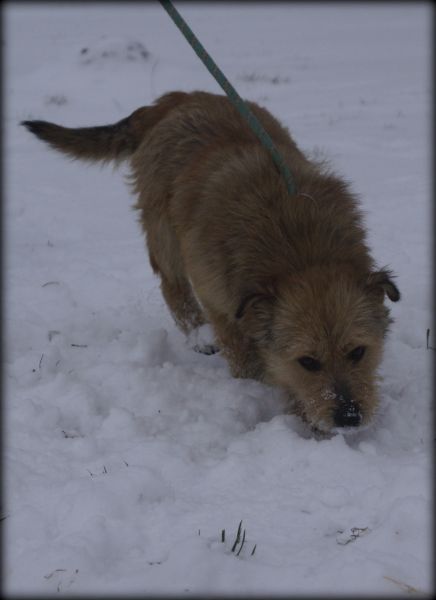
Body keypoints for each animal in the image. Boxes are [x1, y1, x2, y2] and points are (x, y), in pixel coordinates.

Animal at [23, 89, 398, 432]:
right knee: (172, 285)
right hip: (165, 233)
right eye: (308, 361)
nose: (349, 417)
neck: (300, 250)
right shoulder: (220, 302)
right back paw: (198, 335)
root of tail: (173, 100)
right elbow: (244, 357)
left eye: (358, 352)